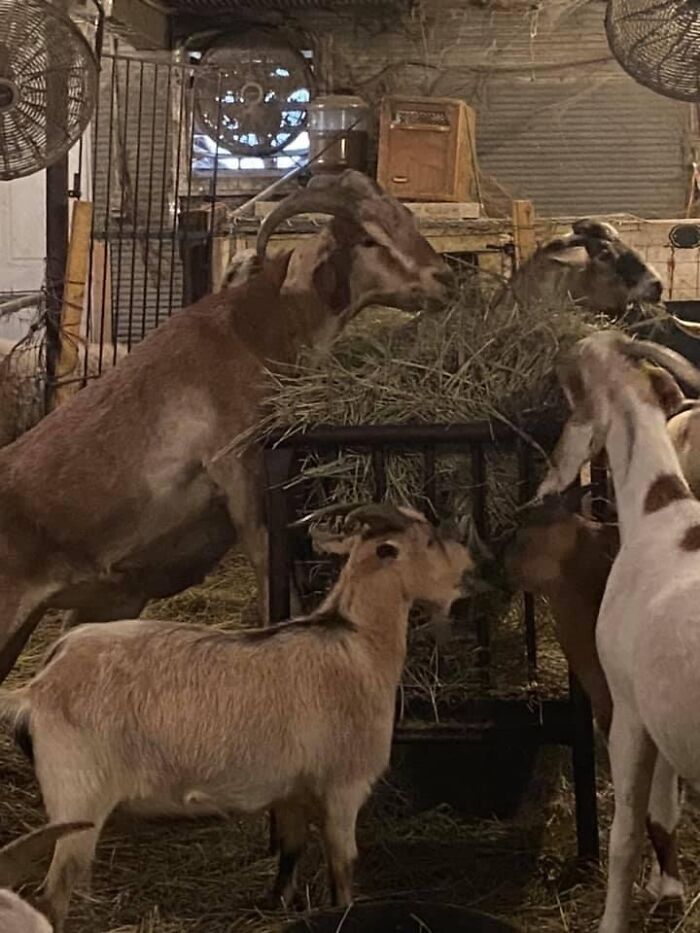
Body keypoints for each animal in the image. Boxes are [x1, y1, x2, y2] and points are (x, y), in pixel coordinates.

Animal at [0, 169, 452, 682]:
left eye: (407, 220)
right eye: (368, 239)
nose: (445, 279)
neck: (252, 330)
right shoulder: (239, 468)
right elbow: (269, 561)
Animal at [0, 502, 477, 931]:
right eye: (429, 540)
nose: (472, 574)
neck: (356, 643)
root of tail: (36, 689)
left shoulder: (291, 789)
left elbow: (290, 851)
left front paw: (277, 904)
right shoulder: (344, 786)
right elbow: (343, 869)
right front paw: (343, 912)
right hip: (78, 796)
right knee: (52, 897)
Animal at [533, 331, 700, 932]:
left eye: (573, 378)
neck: (658, 513)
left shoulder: (628, 709)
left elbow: (626, 833)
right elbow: (666, 811)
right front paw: (667, 887)